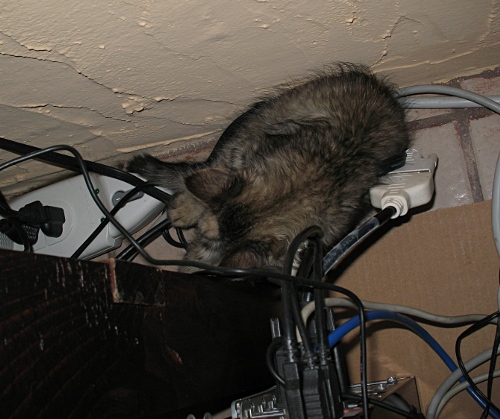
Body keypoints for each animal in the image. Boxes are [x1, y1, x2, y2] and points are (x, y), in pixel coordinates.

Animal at [128, 62, 410, 272]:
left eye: (213, 242)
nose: (204, 239)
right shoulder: (250, 146)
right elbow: (213, 172)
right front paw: (189, 210)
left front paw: (193, 266)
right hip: (262, 116)